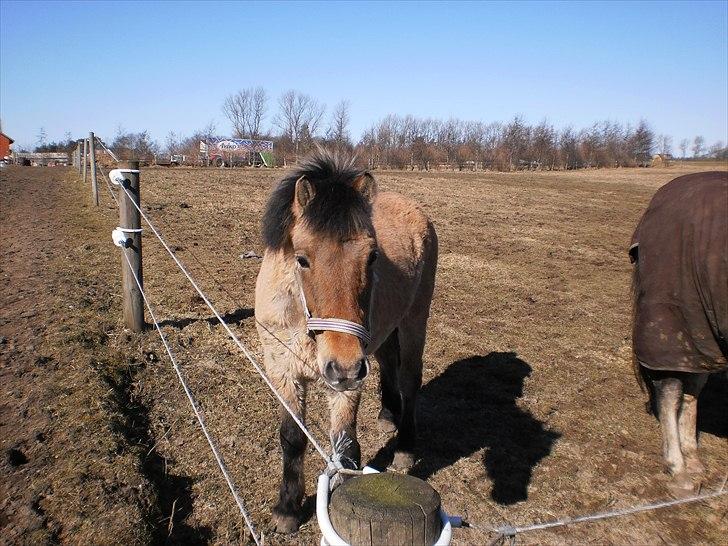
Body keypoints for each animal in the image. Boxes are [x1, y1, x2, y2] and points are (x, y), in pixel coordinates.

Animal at [255, 150, 438, 532]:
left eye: (372, 257)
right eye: (302, 258)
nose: (345, 367)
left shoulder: (346, 381)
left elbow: (346, 443)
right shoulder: (283, 371)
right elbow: (292, 438)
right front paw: (287, 509)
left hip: (413, 321)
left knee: (410, 379)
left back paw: (405, 448)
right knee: (389, 363)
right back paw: (387, 413)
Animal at [628, 172, 724, 496]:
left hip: (702, 332)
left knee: (692, 385)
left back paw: (692, 460)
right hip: (677, 318)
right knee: (672, 388)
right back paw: (680, 469)